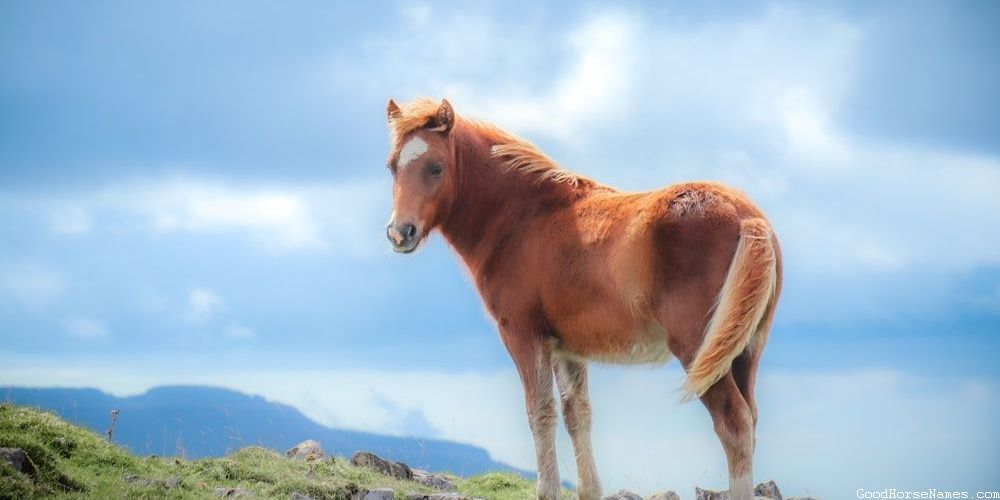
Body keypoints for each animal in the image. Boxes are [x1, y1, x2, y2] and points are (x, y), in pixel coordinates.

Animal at [382, 97, 782, 500]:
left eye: (436, 166)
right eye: (392, 166)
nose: (400, 233)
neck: (521, 218)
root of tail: (748, 218)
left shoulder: (523, 336)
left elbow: (540, 411)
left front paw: (547, 489)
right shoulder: (567, 348)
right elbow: (577, 413)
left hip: (698, 349)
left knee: (733, 424)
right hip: (742, 351)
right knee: (750, 419)